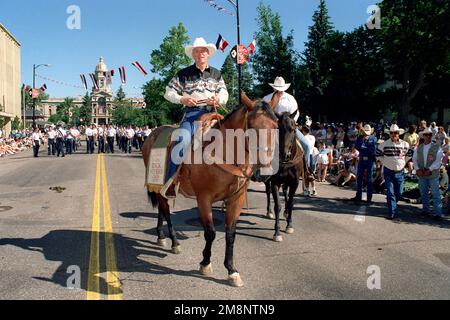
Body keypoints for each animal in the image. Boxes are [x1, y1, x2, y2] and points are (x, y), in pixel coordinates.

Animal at [143, 93, 278, 288]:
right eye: (251, 127)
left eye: (276, 126)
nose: (264, 172)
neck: (224, 152)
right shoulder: (204, 199)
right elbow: (211, 232)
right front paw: (205, 263)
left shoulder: (236, 199)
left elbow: (230, 234)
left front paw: (231, 270)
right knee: (166, 210)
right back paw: (174, 242)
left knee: (162, 208)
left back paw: (161, 237)